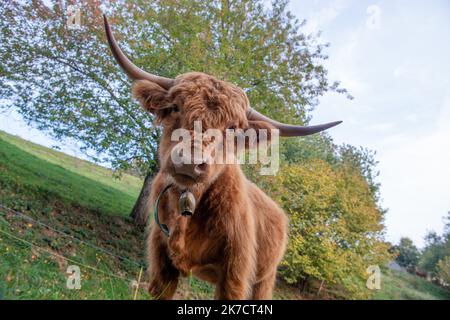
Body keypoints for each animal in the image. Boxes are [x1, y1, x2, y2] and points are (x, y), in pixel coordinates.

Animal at [103, 15, 342, 300]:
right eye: (174, 108)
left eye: (232, 127)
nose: (189, 161)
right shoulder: (160, 260)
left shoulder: (235, 274)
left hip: (265, 278)